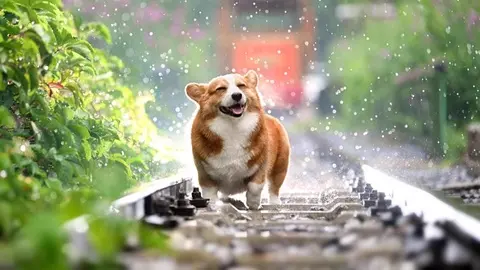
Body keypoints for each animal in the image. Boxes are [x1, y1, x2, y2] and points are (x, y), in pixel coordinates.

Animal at [184, 70, 288, 210]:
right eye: (220, 89)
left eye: (241, 86)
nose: (237, 95)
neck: (233, 127)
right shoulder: (204, 173)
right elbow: (210, 194)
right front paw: (213, 205)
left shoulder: (262, 164)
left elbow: (255, 186)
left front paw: (253, 203)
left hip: (280, 166)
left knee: (274, 187)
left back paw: (275, 202)